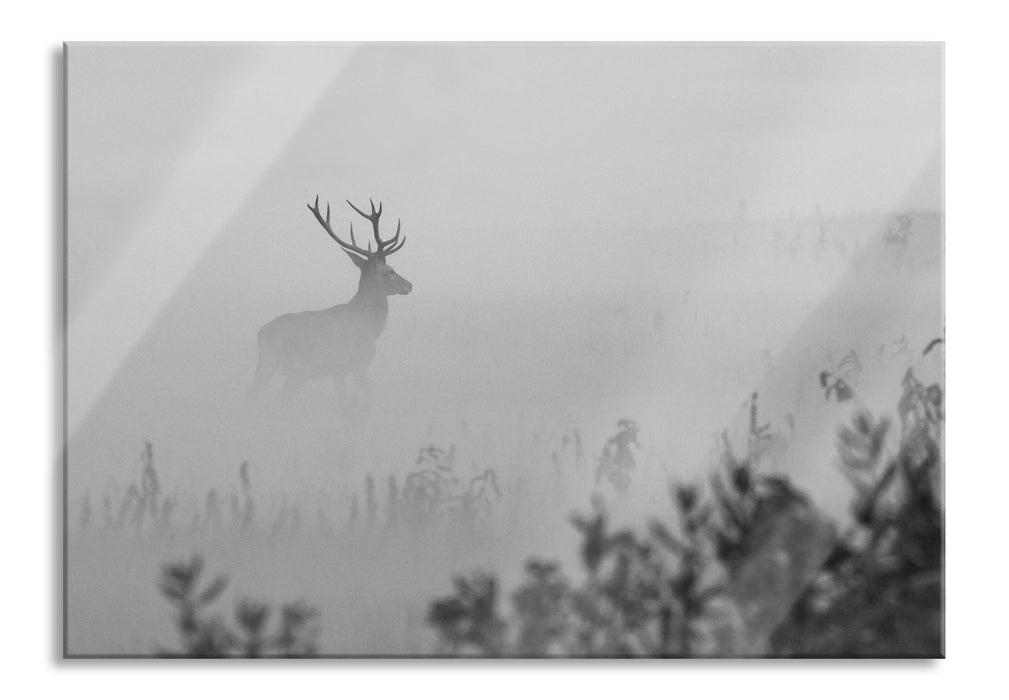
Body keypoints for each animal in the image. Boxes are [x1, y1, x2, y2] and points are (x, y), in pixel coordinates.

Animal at [250, 196, 412, 401]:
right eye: (390, 271)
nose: (409, 285)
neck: (368, 326)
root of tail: (260, 334)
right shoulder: (354, 364)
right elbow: (365, 398)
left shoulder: (339, 371)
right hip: (277, 363)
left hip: (288, 370)